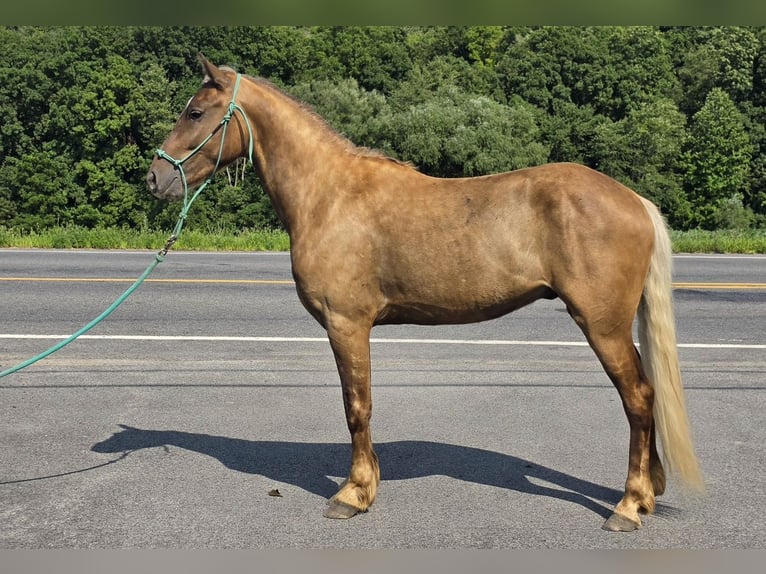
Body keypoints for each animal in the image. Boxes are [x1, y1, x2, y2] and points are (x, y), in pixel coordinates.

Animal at [146, 53, 704, 532]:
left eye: (196, 112)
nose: (153, 178)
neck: (330, 195)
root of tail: (633, 200)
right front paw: (367, 485)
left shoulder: (346, 324)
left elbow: (357, 406)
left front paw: (353, 494)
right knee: (646, 396)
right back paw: (646, 494)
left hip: (602, 324)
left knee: (638, 398)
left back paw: (628, 505)